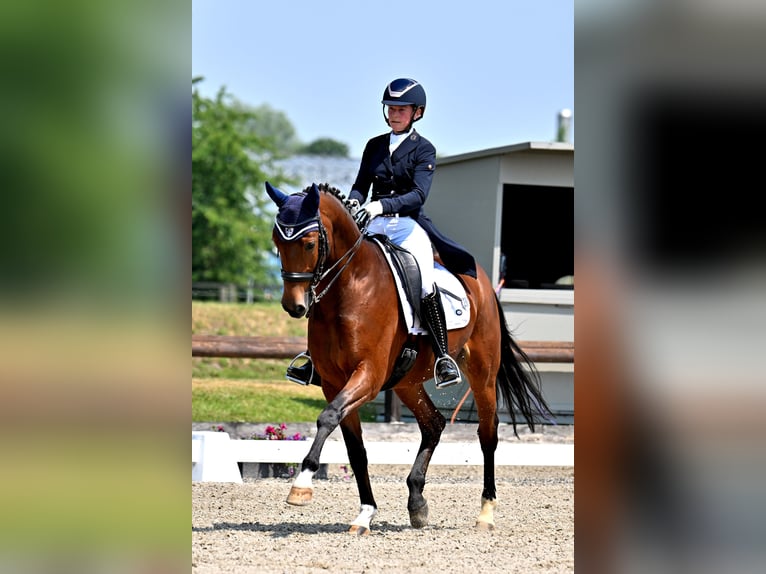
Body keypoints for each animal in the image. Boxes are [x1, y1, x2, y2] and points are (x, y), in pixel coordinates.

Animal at [265, 181, 553, 534]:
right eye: (277, 242)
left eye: (308, 243)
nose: (294, 306)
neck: (351, 286)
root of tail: (482, 280)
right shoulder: (334, 383)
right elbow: (355, 449)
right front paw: (365, 513)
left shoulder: (368, 376)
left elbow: (328, 418)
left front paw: (302, 484)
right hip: (407, 382)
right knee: (434, 424)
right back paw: (417, 502)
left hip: (482, 372)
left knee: (488, 434)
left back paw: (485, 513)